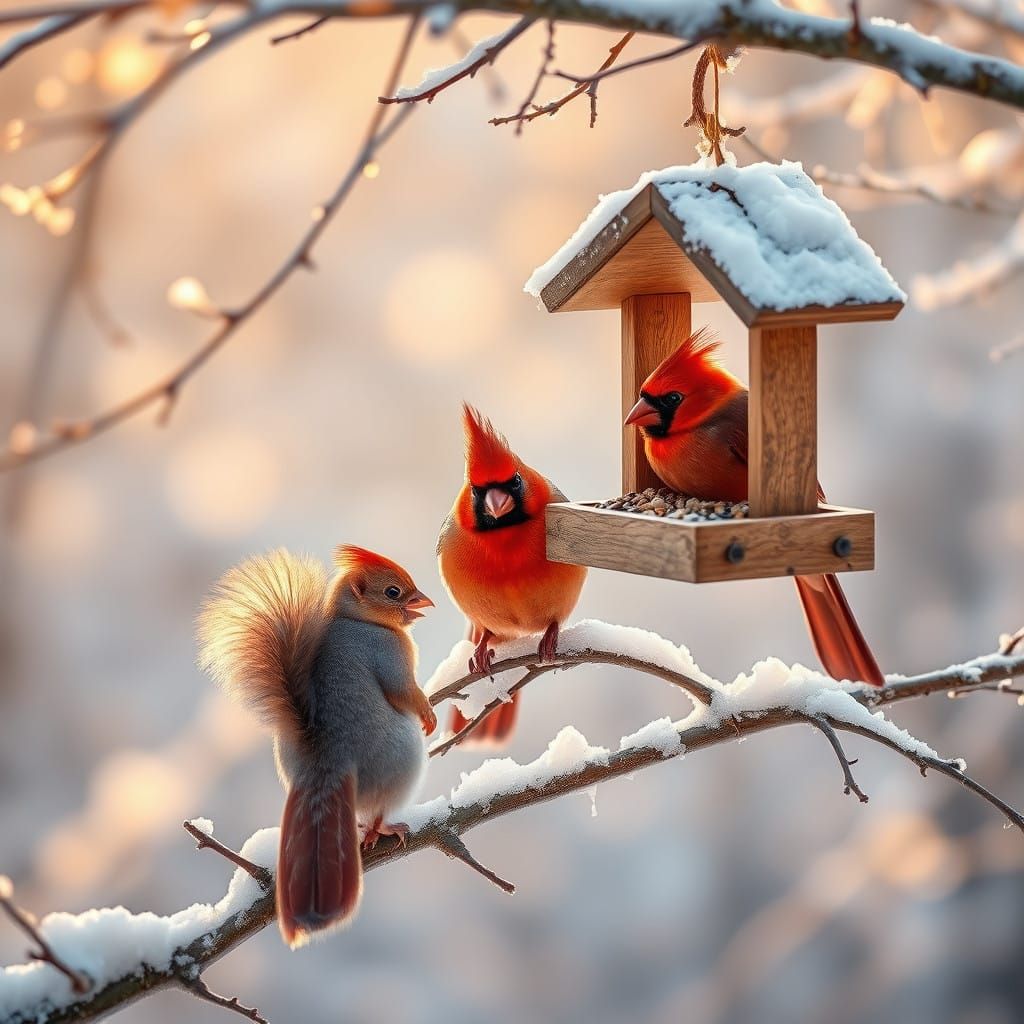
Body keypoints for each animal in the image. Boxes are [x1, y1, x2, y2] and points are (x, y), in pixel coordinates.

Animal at [197, 545, 436, 948]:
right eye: (393, 592)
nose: (426, 601)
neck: (353, 618)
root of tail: (326, 766)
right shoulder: (390, 655)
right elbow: (404, 692)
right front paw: (429, 715)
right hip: (402, 761)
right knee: (378, 810)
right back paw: (382, 829)